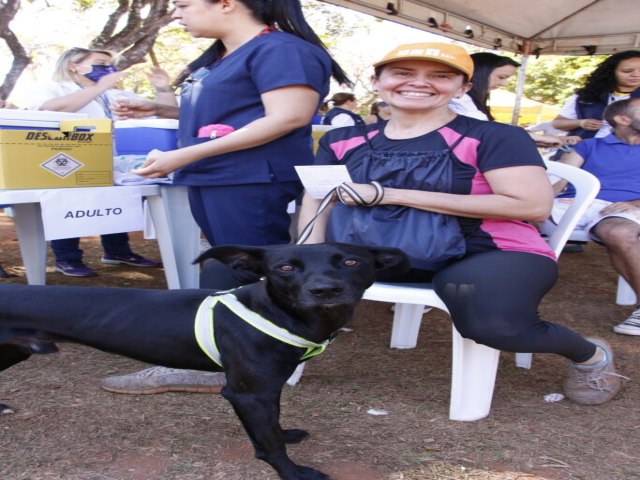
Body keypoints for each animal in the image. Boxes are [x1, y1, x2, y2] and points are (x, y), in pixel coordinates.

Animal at [0, 244, 408, 480]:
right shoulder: (247, 394)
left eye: (353, 261)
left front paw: (284, 435)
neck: (276, 312)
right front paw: (294, 473)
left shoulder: (264, 390)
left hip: (15, 351)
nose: (325, 290)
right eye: (285, 268)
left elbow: (273, 427)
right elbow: (271, 444)